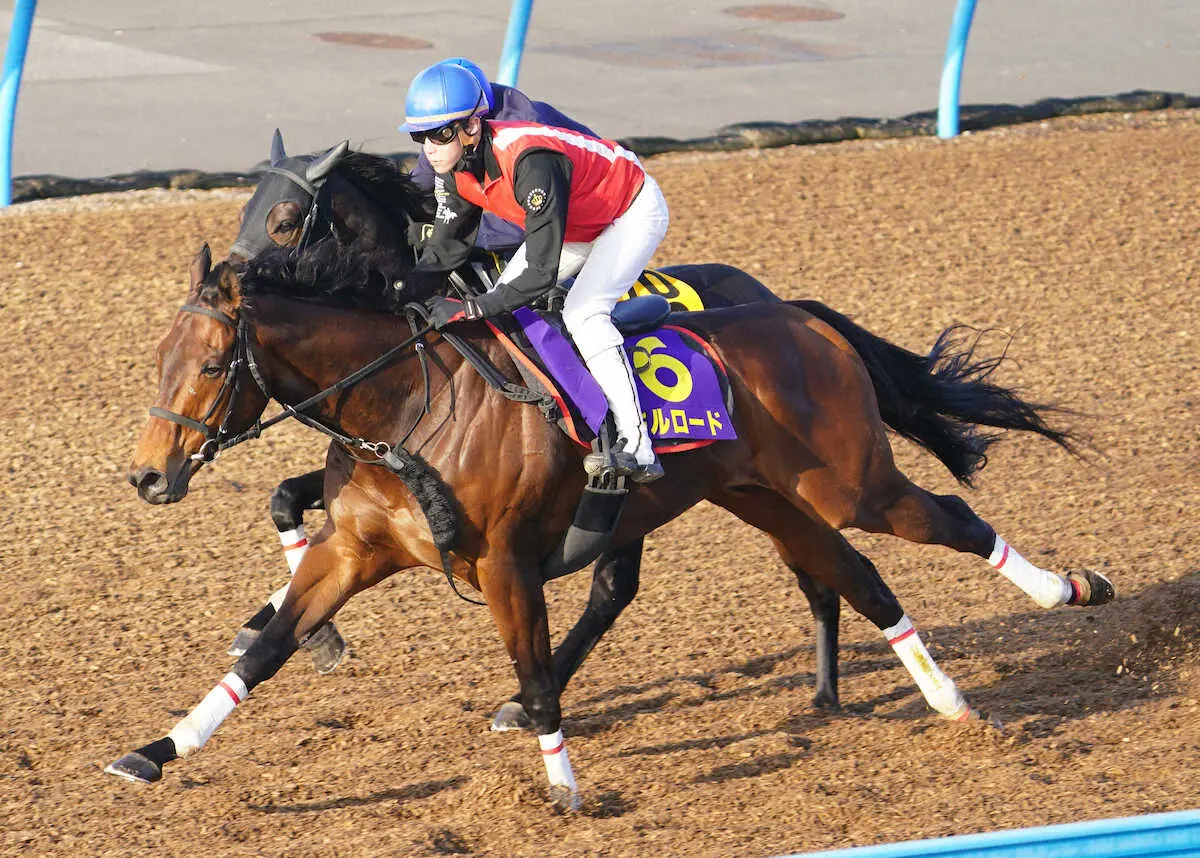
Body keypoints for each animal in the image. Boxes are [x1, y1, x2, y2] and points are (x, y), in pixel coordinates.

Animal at [110, 244, 1113, 811]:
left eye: (210, 365)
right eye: (157, 357)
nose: (148, 475)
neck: (402, 405)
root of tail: (800, 314)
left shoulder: (507, 562)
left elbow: (537, 676)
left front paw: (563, 789)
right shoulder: (355, 550)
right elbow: (266, 650)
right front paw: (156, 753)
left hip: (850, 481)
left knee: (949, 519)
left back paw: (1070, 588)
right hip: (767, 496)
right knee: (859, 579)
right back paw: (948, 702)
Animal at [218, 134, 1104, 729]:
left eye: (287, 217)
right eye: (247, 209)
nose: (232, 275)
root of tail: (781, 301)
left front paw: (307, 630)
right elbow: (286, 498)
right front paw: (282, 624)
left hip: (758, 481)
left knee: (624, 585)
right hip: (749, 484)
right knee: (814, 567)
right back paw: (828, 689)